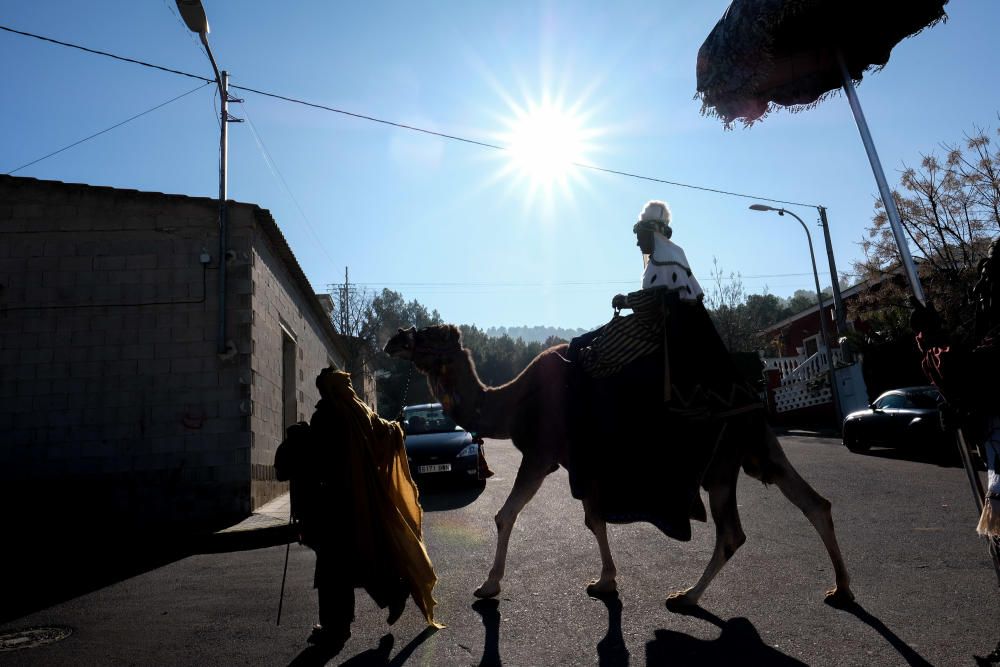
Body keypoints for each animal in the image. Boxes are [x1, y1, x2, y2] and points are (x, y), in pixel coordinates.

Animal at [382, 326, 852, 608]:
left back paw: (685, 596)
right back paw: (841, 589)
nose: (395, 338)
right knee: (814, 503)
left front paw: (489, 585)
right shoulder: (582, 465)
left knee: (734, 531)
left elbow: (508, 514)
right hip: (753, 447)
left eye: (431, 333)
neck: (512, 402)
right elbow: (594, 519)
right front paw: (606, 579)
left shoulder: (542, 455)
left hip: (723, 461)